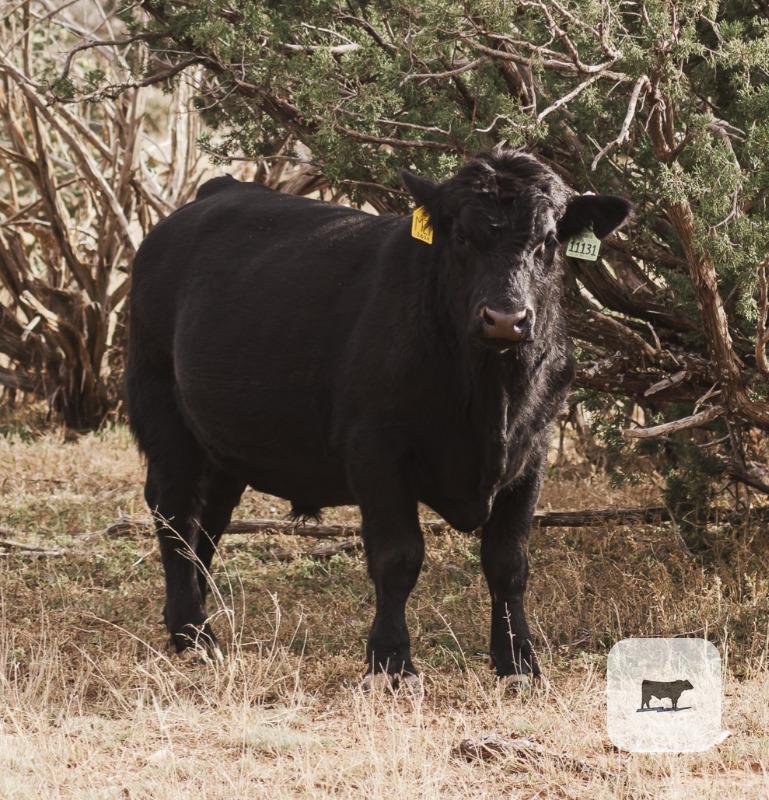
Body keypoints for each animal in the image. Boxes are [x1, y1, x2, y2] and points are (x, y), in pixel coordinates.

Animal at [126, 146, 630, 687]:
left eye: (549, 241)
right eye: (461, 237)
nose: (504, 318)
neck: (490, 396)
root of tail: (217, 190)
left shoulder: (532, 453)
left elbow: (508, 562)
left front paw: (518, 663)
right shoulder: (377, 451)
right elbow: (398, 557)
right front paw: (391, 663)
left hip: (223, 445)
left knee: (208, 520)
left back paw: (201, 617)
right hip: (163, 414)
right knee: (175, 512)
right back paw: (193, 634)